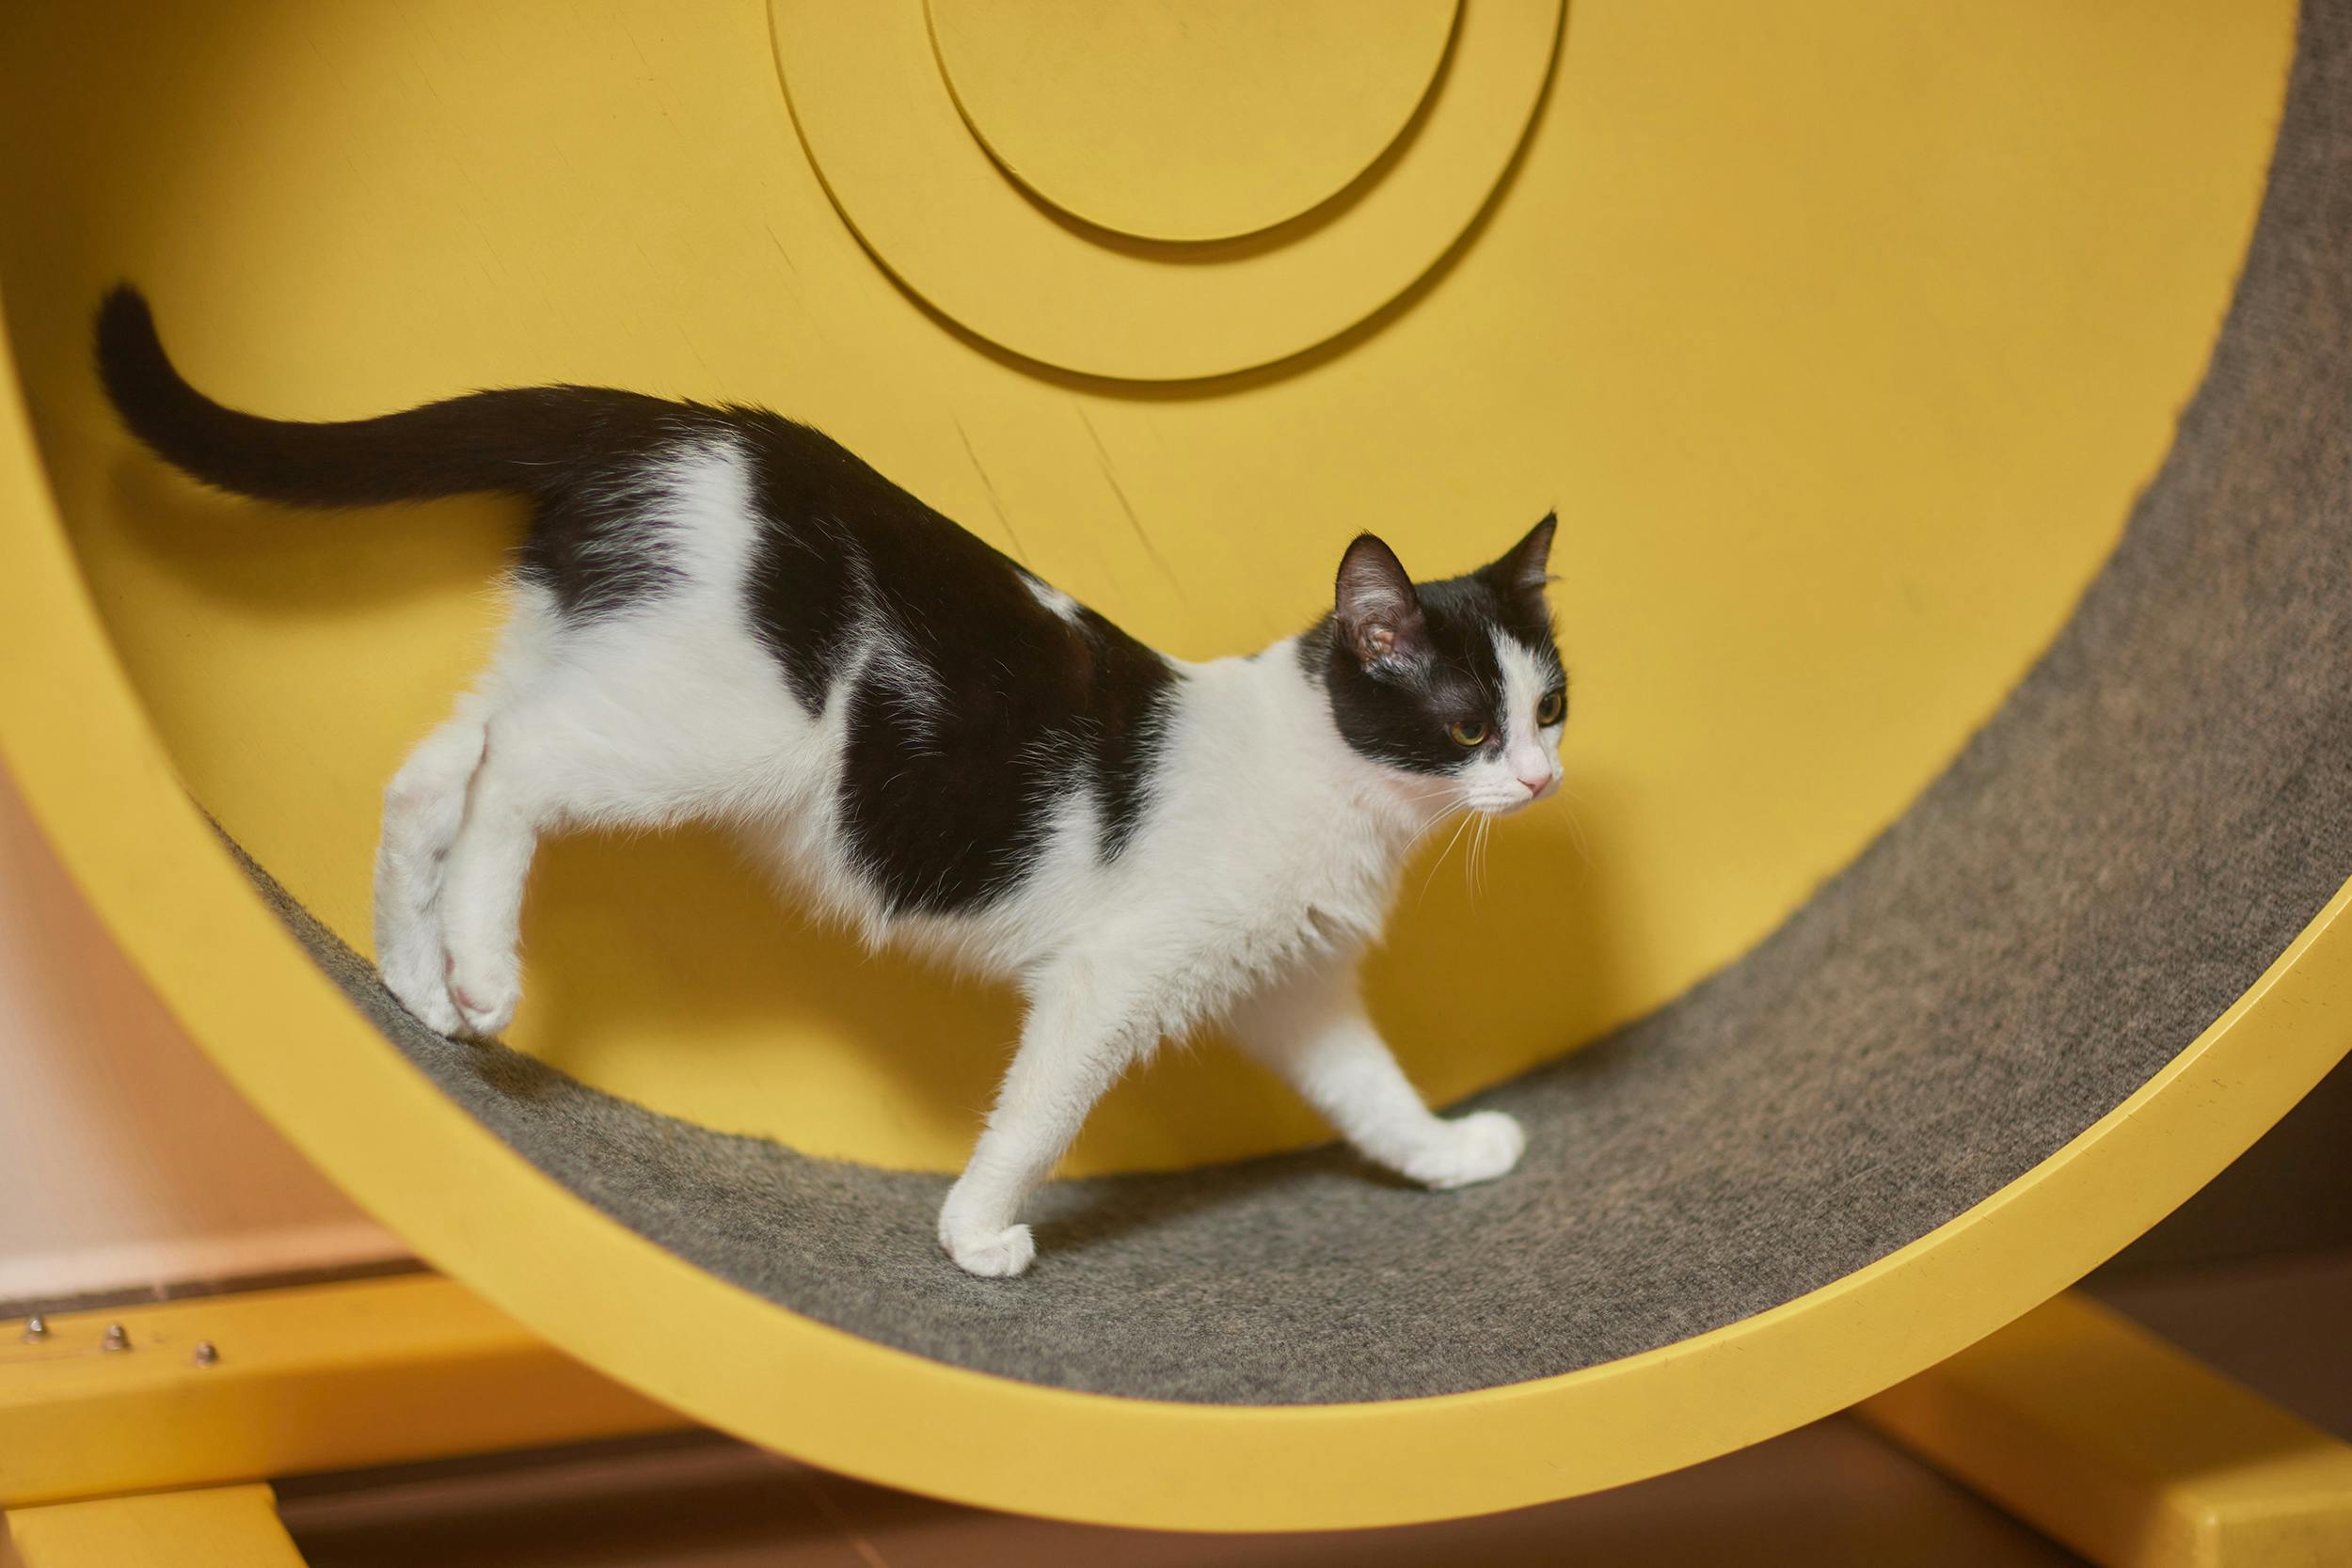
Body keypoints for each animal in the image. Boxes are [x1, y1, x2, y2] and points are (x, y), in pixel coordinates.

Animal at [96, 288, 1562, 1278]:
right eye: (1466, 723)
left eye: (1550, 704)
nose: (1543, 779)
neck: (1332, 777)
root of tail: (682, 431)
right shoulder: (1115, 974)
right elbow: (1042, 1108)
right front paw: (978, 1229)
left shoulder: (1289, 984)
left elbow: (1369, 1088)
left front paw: (1448, 1154)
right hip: (733, 729)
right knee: (519, 766)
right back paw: (484, 968)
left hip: (596, 652)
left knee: (434, 765)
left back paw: (414, 972)